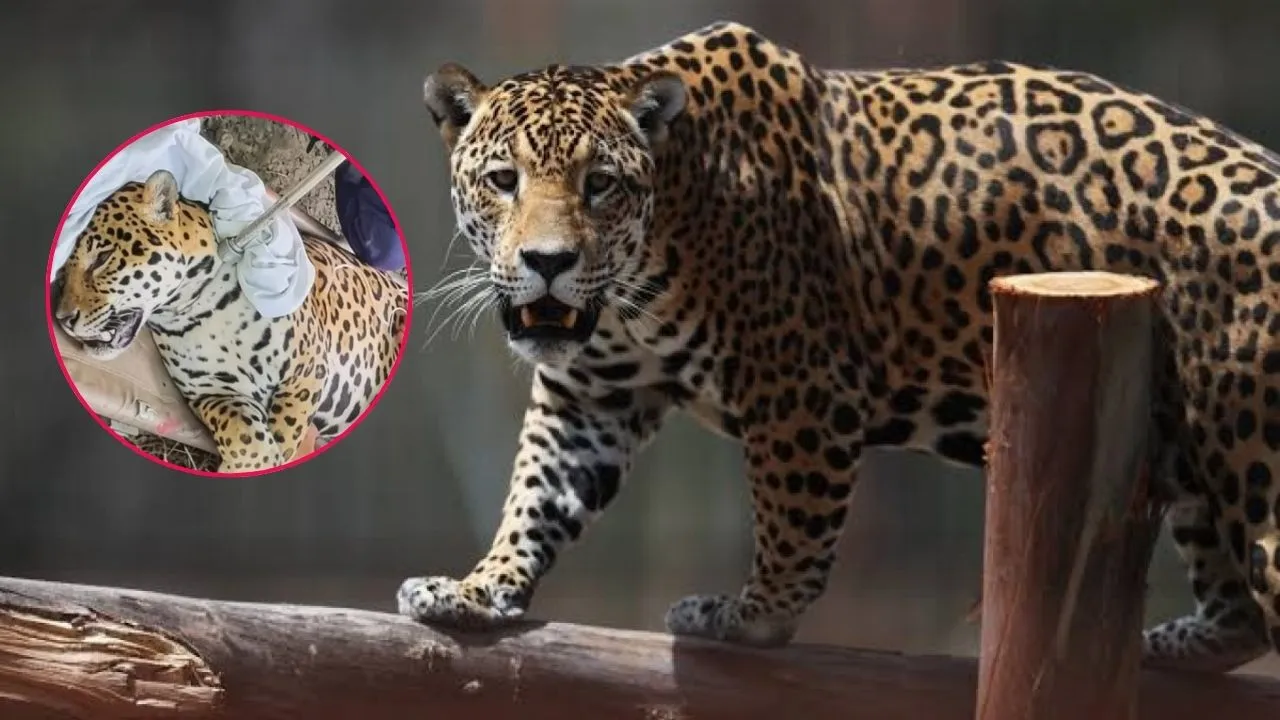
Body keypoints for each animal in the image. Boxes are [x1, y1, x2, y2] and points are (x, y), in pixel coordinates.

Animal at [51, 169, 409, 474]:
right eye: (64, 271)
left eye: (102, 258)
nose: (63, 318)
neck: (197, 308)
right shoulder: (213, 393)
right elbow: (245, 435)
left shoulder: (307, 368)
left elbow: (287, 430)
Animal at [399, 20, 1280, 673]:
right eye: (504, 180)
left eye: (600, 185)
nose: (547, 262)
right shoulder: (592, 396)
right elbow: (536, 495)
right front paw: (476, 590)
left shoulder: (800, 386)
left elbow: (793, 524)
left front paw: (749, 616)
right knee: (1240, 613)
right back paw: (1175, 643)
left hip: (1255, 463)